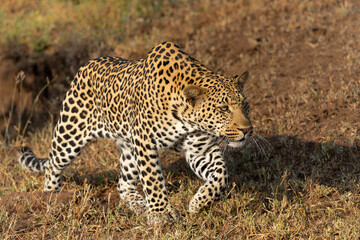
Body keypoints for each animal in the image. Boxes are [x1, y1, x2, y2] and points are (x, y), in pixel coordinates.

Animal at [17, 41, 253, 225]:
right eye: (223, 109)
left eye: (245, 105)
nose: (247, 130)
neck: (187, 117)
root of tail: (86, 64)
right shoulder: (145, 143)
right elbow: (153, 180)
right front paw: (160, 215)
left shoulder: (200, 149)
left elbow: (221, 176)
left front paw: (199, 203)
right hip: (71, 133)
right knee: (53, 164)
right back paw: (51, 196)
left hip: (129, 148)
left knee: (123, 184)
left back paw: (139, 204)